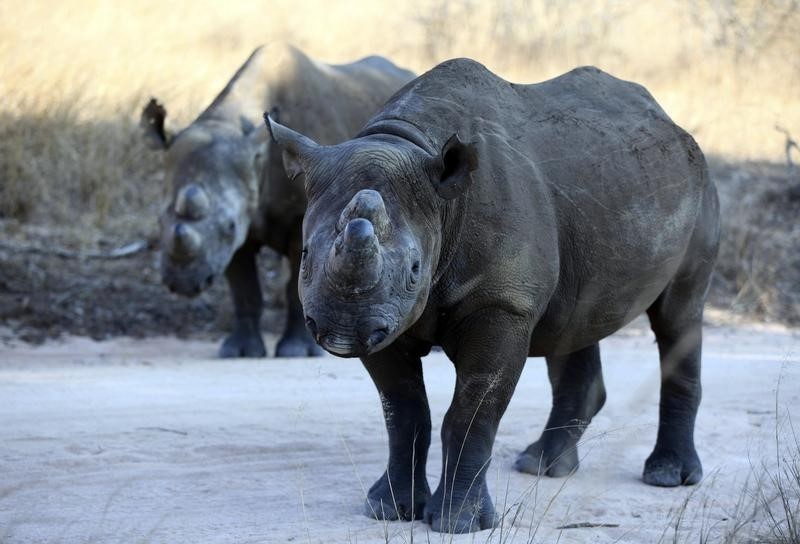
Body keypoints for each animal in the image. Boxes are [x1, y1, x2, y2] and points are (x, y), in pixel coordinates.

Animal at [141, 44, 412, 360]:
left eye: (228, 227)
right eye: (158, 221)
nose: (182, 283)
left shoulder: (300, 220)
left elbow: (295, 286)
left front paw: (296, 351)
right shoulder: (243, 223)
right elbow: (244, 289)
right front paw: (239, 351)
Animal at [266, 59, 720, 532]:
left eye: (414, 271)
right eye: (304, 256)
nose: (339, 330)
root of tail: (669, 119)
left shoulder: (501, 304)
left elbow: (471, 413)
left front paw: (459, 524)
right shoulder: (384, 320)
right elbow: (405, 411)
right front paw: (388, 510)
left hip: (699, 187)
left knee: (678, 316)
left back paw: (667, 476)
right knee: (575, 324)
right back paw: (542, 466)